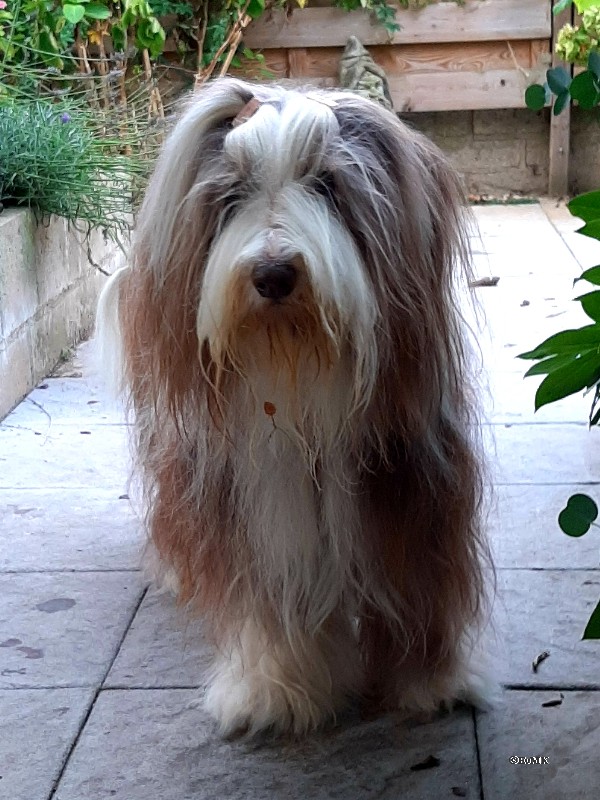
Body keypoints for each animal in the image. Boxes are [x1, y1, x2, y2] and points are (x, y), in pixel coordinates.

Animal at [98, 78, 490, 736]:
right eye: (232, 195)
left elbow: (416, 587)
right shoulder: (254, 505)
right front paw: (278, 693)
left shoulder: (409, 482)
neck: (301, 389)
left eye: (327, 185)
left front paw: (425, 685)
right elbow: (271, 603)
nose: (274, 273)